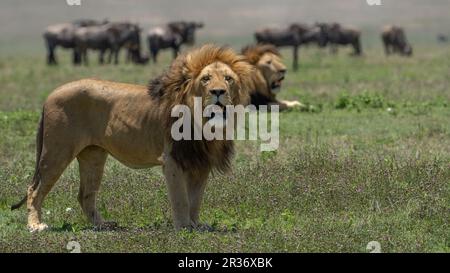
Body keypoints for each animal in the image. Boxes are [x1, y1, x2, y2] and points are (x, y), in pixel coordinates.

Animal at [11, 44, 253, 232]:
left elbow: (195, 200)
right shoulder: (172, 160)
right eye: (205, 79)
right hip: (57, 152)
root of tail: (49, 95)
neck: (203, 122)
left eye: (228, 79)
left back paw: (102, 225)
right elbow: (181, 199)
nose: (218, 91)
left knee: (85, 195)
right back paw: (35, 225)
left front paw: (196, 225)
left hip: (93, 156)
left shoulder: (200, 162)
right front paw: (184, 227)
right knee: (34, 190)